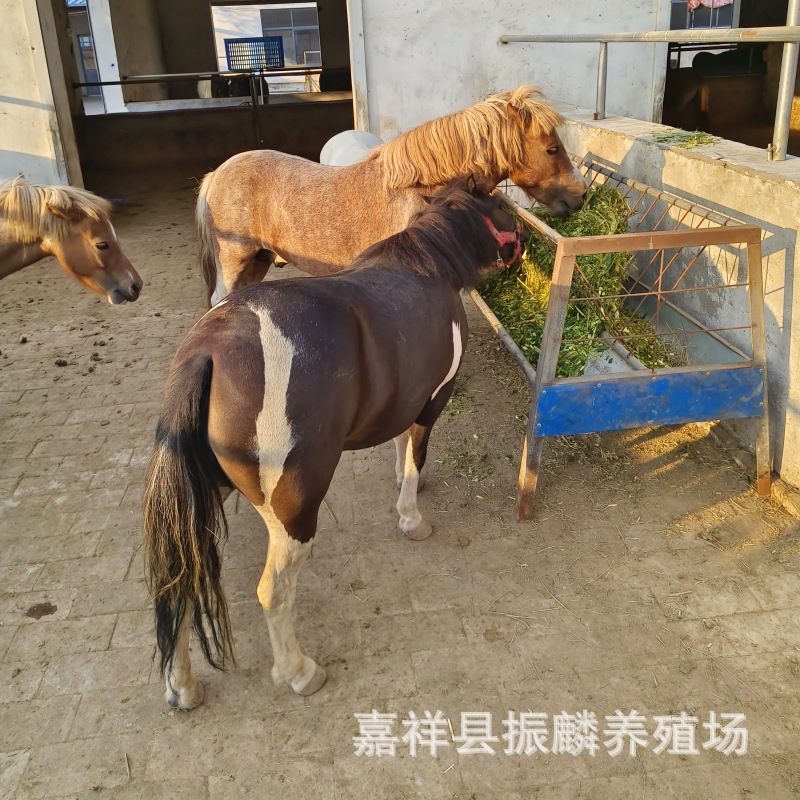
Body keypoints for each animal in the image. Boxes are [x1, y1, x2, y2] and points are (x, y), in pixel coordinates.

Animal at [143, 176, 523, 709]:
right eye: (504, 203)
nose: (523, 247)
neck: (430, 264)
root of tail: (207, 351)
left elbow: (400, 446)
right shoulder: (433, 401)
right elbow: (416, 454)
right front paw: (412, 517)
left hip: (204, 494)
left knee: (179, 578)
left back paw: (182, 687)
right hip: (293, 514)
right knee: (273, 591)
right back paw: (300, 672)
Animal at [196, 85, 586, 306]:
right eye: (552, 149)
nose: (581, 195)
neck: (419, 190)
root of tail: (217, 175)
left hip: (257, 260)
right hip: (235, 259)